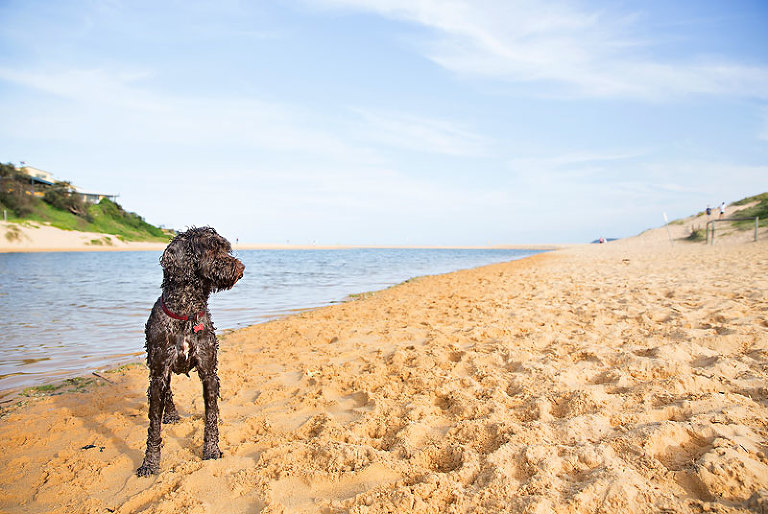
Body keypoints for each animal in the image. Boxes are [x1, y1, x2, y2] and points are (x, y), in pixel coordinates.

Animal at [137, 227, 244, 476]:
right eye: (212, 249)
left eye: (226, 248)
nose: (241, 267)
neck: (186, 315)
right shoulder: (158, 373)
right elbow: (153, 424)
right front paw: (150, 463)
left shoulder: (209, 371)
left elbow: (211, 415)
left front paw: (211, 450)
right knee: (168, 394)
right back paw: (171, 414)